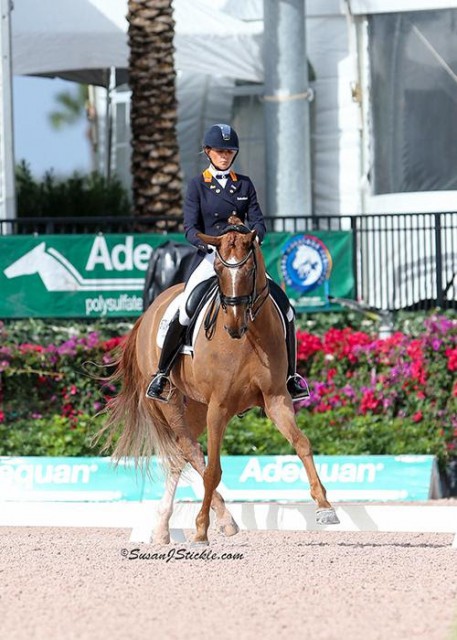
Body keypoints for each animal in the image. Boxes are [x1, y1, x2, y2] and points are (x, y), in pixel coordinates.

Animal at [98, 218, 336, 544]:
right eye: (220, 270)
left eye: (249, 270)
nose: (234, 325)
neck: (249, 337)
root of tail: (150, 310)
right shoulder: (219, 406)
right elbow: (212, 469)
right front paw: (200, 530)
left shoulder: (276, 398)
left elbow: (302, 443)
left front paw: (325, 507)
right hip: (173, 402)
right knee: (190, 451)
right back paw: (218, 520)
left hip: (196, 406)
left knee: (181, 454)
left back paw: (164, 527)